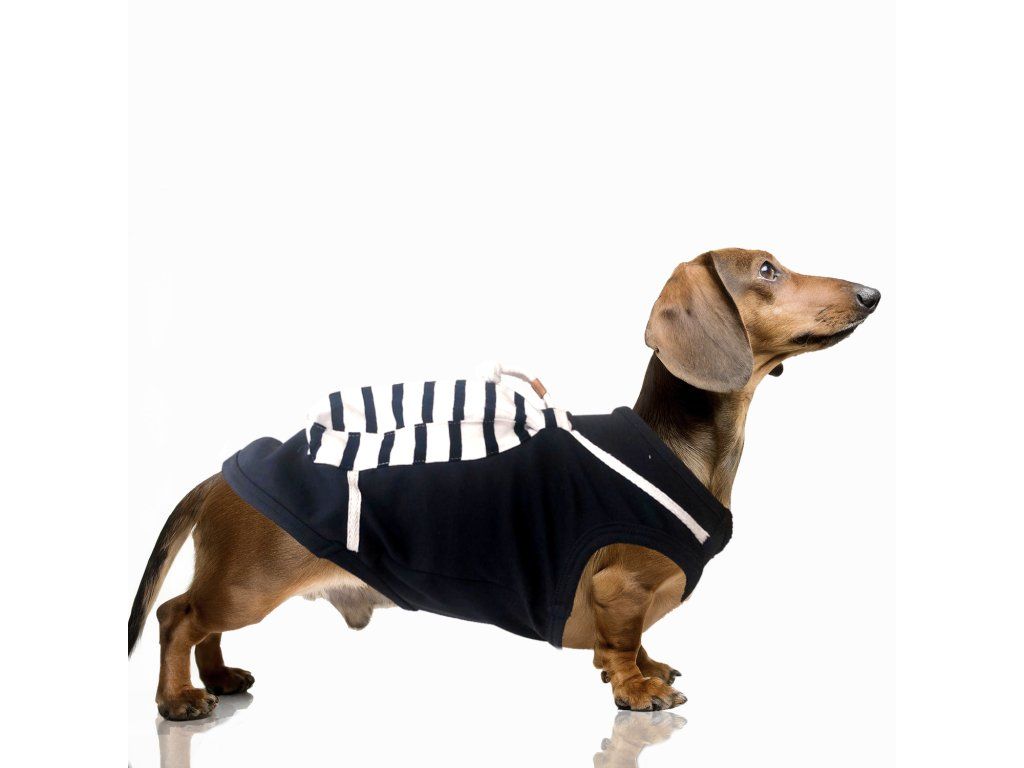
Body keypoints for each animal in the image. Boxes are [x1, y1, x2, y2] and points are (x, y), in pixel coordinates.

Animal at [128, 248, 879, 720]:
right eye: (766, 269)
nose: (871, 293)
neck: (680, 445)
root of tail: (221, 476)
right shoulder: (620, 587)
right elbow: (621, 643)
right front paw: (637, 690)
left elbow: (635, 641)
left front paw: (648, 667)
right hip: (247, 585)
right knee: (177, 617)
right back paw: (179, 699)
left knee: (200, 626)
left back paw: (220, 677)